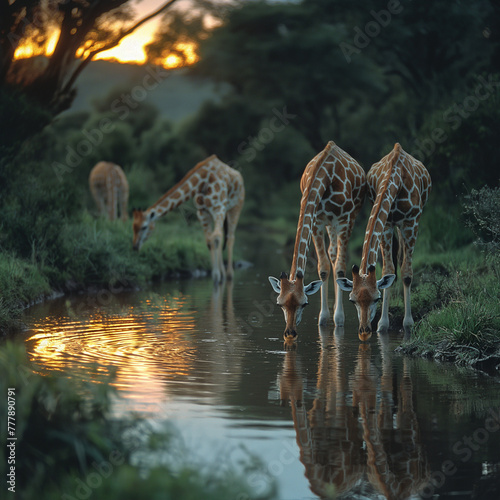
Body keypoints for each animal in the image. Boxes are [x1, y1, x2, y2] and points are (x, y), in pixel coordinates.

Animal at [131, 154, 244, 284]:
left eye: (144, 227)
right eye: (133, 226)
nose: (134, 247)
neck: (204, 180)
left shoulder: (218, 208)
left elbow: (216, 238)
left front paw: (217, 277)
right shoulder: (202, 213)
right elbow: (210, 241)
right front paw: (217, 276)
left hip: (235, 208)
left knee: (229, 238)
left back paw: (229, 274)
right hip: (218, 214)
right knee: (219, 237)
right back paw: (223, 274)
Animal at [268, 143, 366, 342]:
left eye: (304, 304)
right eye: (280, 304)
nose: (289, 334)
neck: (324, 175)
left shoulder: (344, 219)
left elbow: (339, 268)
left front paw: (338, 319)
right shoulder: (318, 220)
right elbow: (323, 268)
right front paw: (323, 320)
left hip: (348, 218)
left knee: (338, 260)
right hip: (330, 224)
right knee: (332, 253)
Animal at [338, 143, 432, 342]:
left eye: (377, 298)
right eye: (352, 300)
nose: (364, 331)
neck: (395, 177)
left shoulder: (412, 221)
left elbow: (407, 273)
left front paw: (408, 324)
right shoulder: (388, 222)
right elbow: (388, 270)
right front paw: (382, 325)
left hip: (407, 225)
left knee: (404, 262)